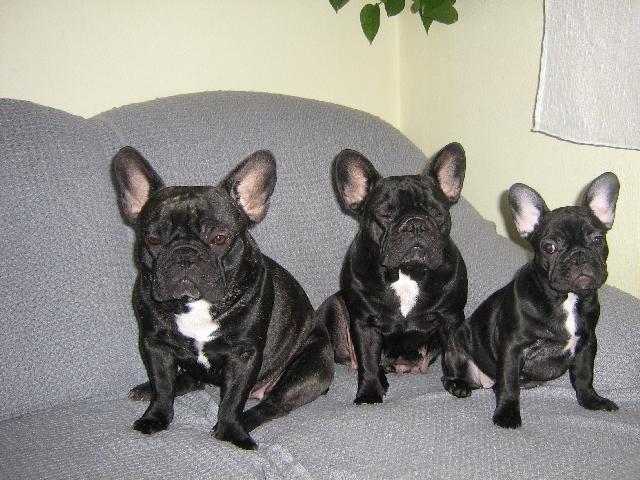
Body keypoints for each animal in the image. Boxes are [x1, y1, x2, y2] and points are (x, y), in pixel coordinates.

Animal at [111, 147, 334, 449]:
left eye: (219, 238)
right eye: (153, 240)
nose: (185, 255)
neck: (194, 304)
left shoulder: (243, 355)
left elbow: (232, 399)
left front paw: (231, 431)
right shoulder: (156, 346)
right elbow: (163, 386)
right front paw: (154, 417)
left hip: (315, 362)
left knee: (274, 404)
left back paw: (245, 421)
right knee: (190, 381)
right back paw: (146, 389)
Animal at [316, 143, 468, 404]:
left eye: (437, 213)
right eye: (386, 214)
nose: (416, 224)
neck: (408, 272)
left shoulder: (452, 317)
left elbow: (455, 352)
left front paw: (458, 382)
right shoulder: (365, 324)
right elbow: (368, 361)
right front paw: (369, 394)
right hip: (334, 306)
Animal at [444, 172, 620, 428]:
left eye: (598, 240)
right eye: (549, 247)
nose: (578, 256)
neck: (565, 298)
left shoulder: (587, 343)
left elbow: (585, 376)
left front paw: (591, 401)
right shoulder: (513, 346)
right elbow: (509, 384)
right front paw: (507, 413)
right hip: (457, 344)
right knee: (453, 372)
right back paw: (459, 385)